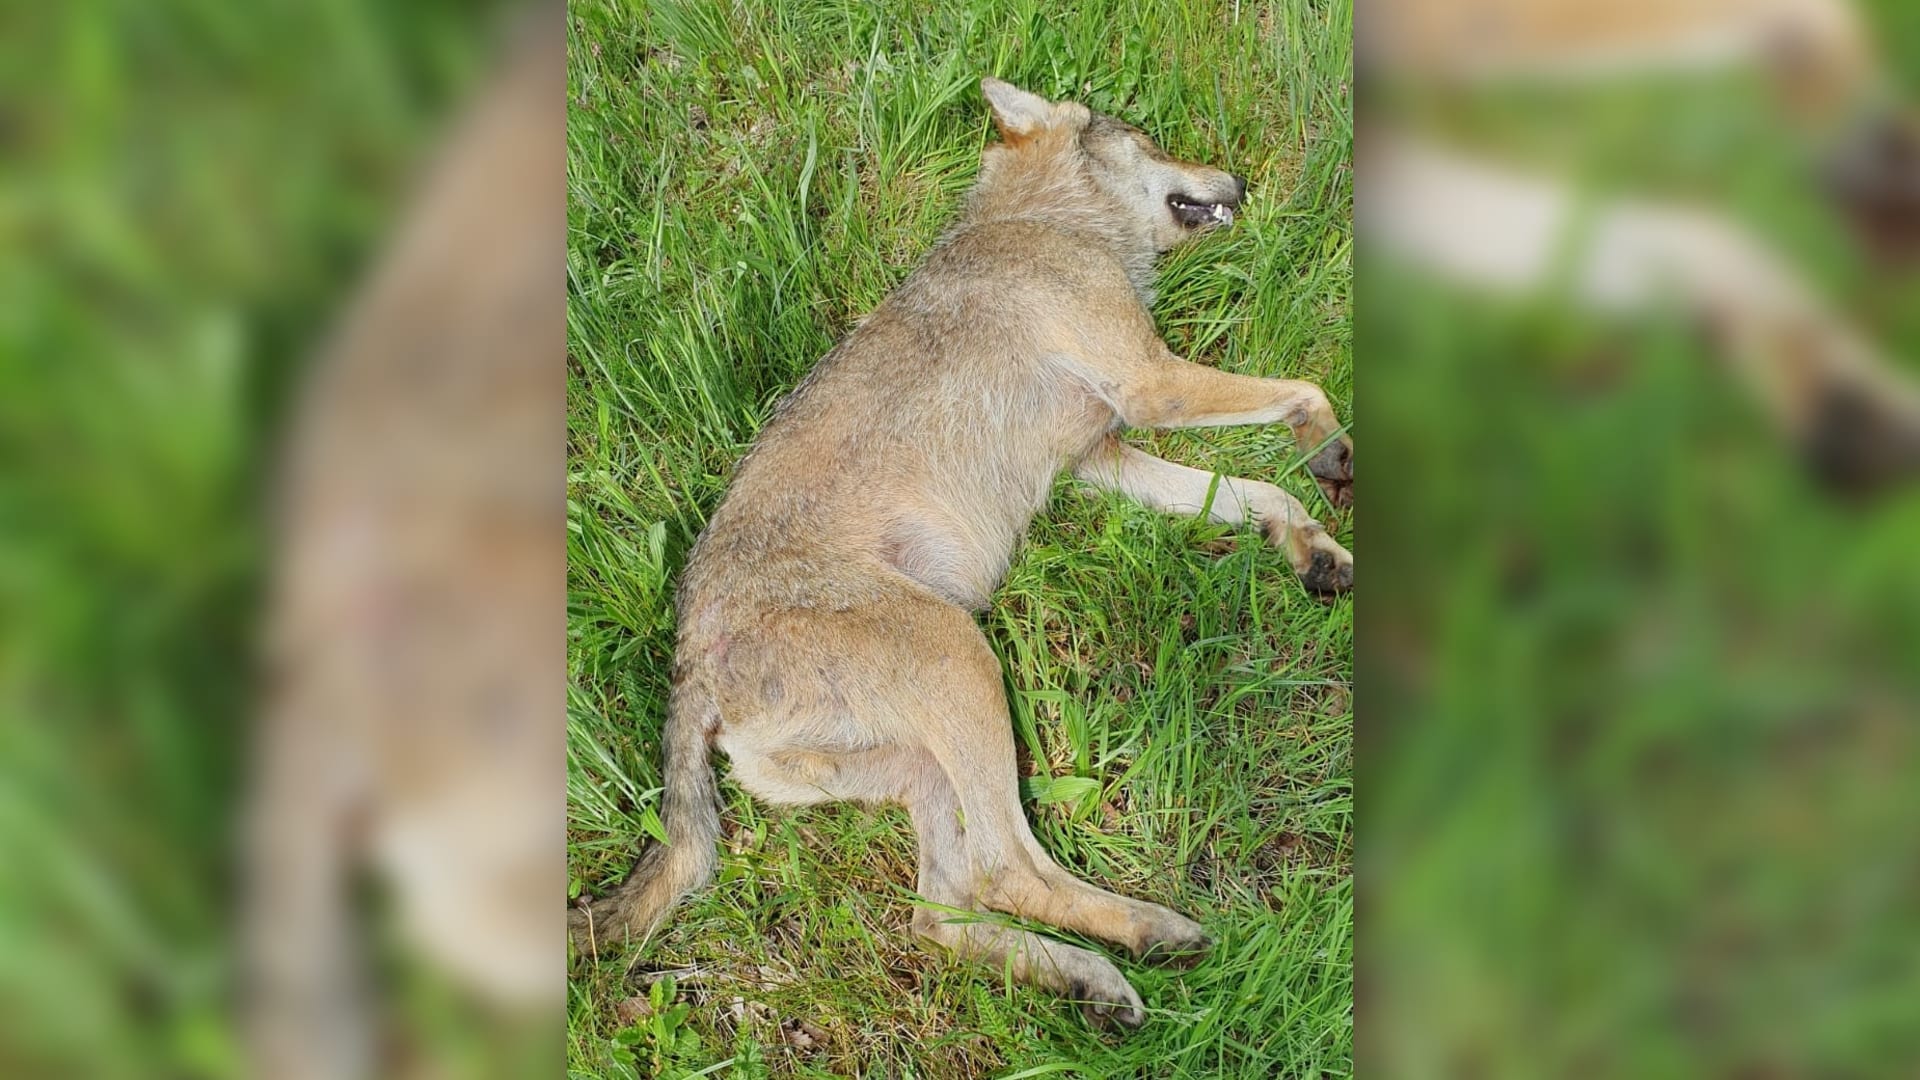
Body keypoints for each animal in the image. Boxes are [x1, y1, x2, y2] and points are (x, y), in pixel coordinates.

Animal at [569, 78, 1355, 1026]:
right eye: (1145, 135)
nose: (1237, 180)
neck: (1049, 219)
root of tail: (691, 661)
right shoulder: (1151, 385)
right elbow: (1306, 391)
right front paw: (1335, 452)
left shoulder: (1103, 457)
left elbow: (1260, 494)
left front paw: (1314, 547)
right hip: (964, 664)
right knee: (1005, 869)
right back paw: (1145, 935)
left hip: (923, 761)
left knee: (943, 914)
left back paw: (1088, 976)